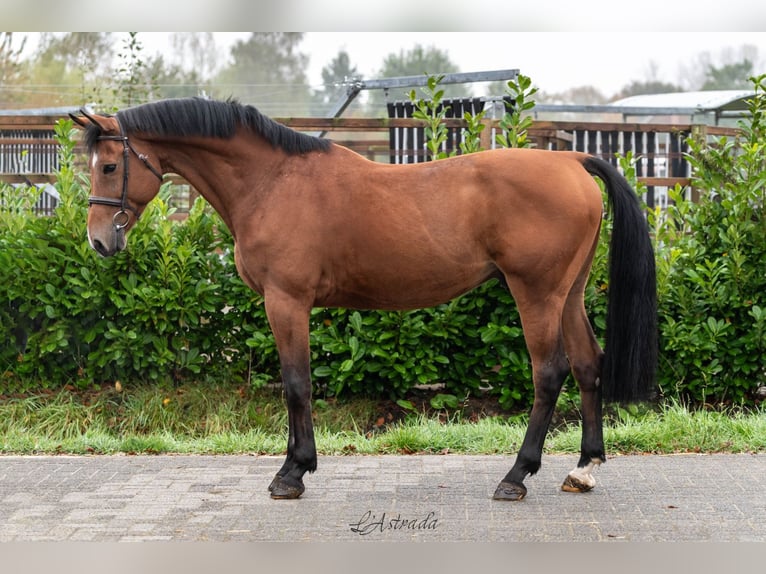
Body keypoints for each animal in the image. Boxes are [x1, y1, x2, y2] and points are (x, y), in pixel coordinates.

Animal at [73, 99, 660, 504]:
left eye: (109, 167)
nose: (99, 241)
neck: (272, 181)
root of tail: (573, 160)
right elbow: (296, 384)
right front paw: (296, 465)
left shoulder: (287, 301)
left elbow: (296, 383)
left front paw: (293, 472)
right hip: (569, 293)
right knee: (587, 365)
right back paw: (583, 469)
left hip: (535, 293)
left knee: (549, 372)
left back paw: (516, 476)